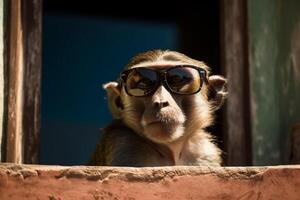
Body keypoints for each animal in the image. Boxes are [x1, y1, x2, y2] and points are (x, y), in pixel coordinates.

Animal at [89, 49, 227, 166]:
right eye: (143, 83)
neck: (171, 153)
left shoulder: (205, 152)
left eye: (177, 80)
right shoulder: (125, 145)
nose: (160, 102)